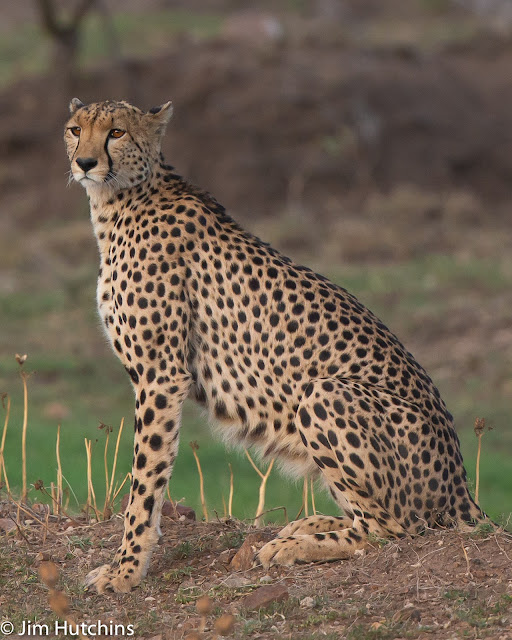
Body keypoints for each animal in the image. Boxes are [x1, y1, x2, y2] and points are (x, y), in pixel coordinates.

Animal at [65, 97, 488, 592]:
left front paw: (126, 570)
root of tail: (460, 482)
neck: (120, 201)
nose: (84, 163)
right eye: (76, 129)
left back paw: (293, 546)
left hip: (323, 392)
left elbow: (145, 481)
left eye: (116, 132)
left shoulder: (160, 375)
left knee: (394, 528)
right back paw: (304, 525)